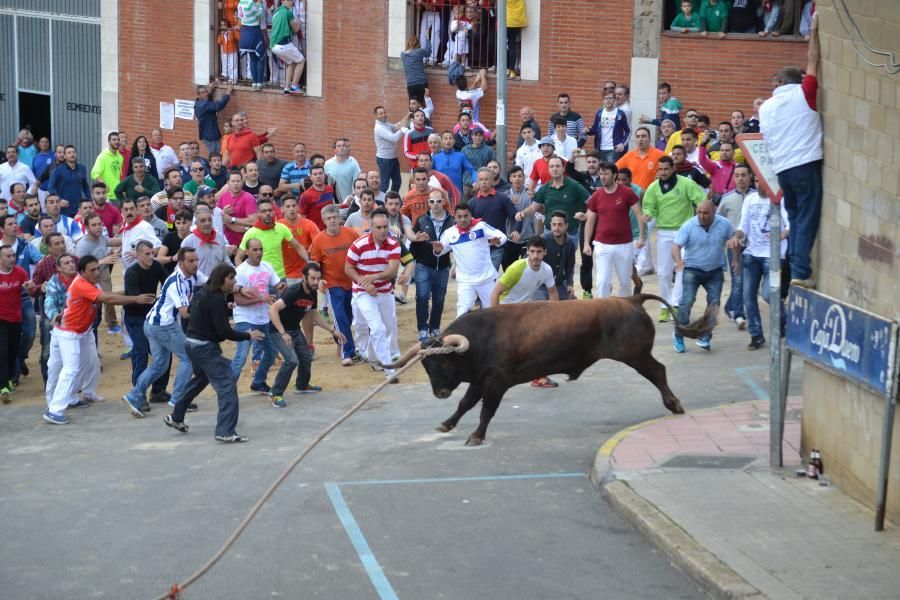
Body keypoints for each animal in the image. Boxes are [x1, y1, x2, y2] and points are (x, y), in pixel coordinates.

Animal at [382, 294, 716, 446]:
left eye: (444, 361)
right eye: (426, 365)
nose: (439, 392)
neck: (479, 339)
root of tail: (629, 298)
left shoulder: (496, 382)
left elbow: (485, 410)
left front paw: (476, 436)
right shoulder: (480, 379)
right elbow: (466, 404)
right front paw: (447, 424)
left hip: (636, 356)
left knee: (658, 371)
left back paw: (675, 405)